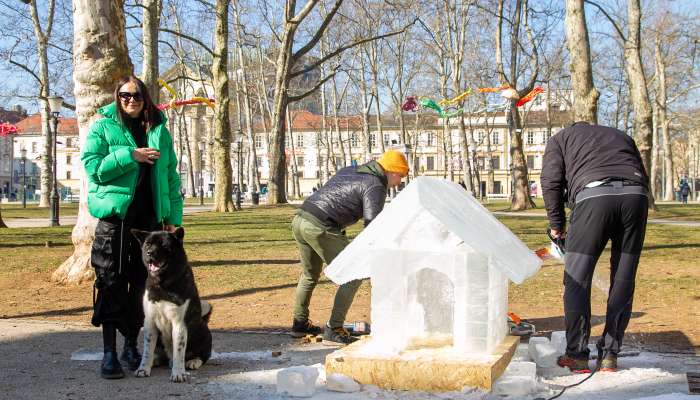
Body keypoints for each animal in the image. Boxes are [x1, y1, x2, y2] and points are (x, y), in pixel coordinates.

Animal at [131, 228, 212, 382]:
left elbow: (179, 352)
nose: (150, 253)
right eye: (148, 244)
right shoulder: (149, 322)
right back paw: (156, 360)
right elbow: (147, 351)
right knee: (158, 354)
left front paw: (178, 373)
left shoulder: (179, 323)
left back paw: (193, 361)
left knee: (203, 355)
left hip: (204, 332)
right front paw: (143, 369)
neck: (163, 284)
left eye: (164, 245)